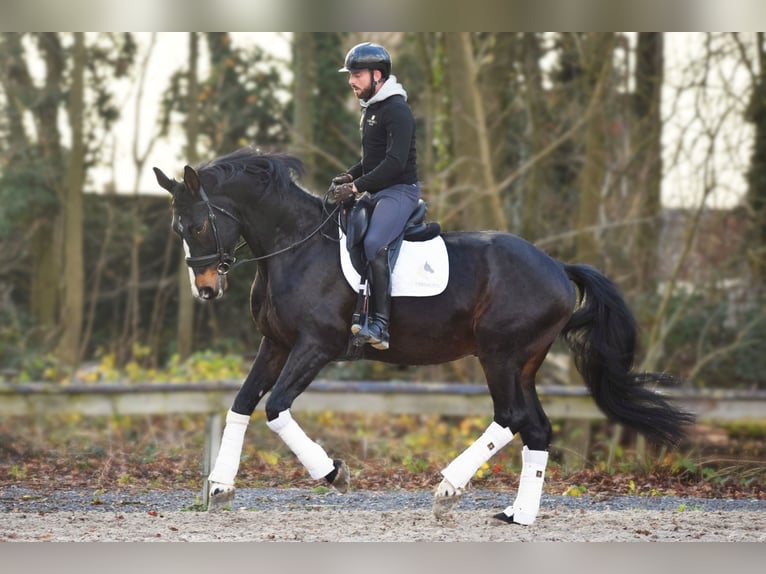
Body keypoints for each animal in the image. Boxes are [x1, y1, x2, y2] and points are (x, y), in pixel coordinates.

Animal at [154, 148, 696, 528]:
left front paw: (333, 473)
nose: (206, 289)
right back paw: (517, 515)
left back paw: (447, 491)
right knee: (536, 428)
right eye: (178, 229)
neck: (295, 246)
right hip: (523, 361)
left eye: (199, 225)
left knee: (511, 416)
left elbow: (276, 408)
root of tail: (558, 268)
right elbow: (243, 403)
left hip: (500, 354)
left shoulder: (316, 347)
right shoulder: (277, 344)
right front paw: (220, 486)